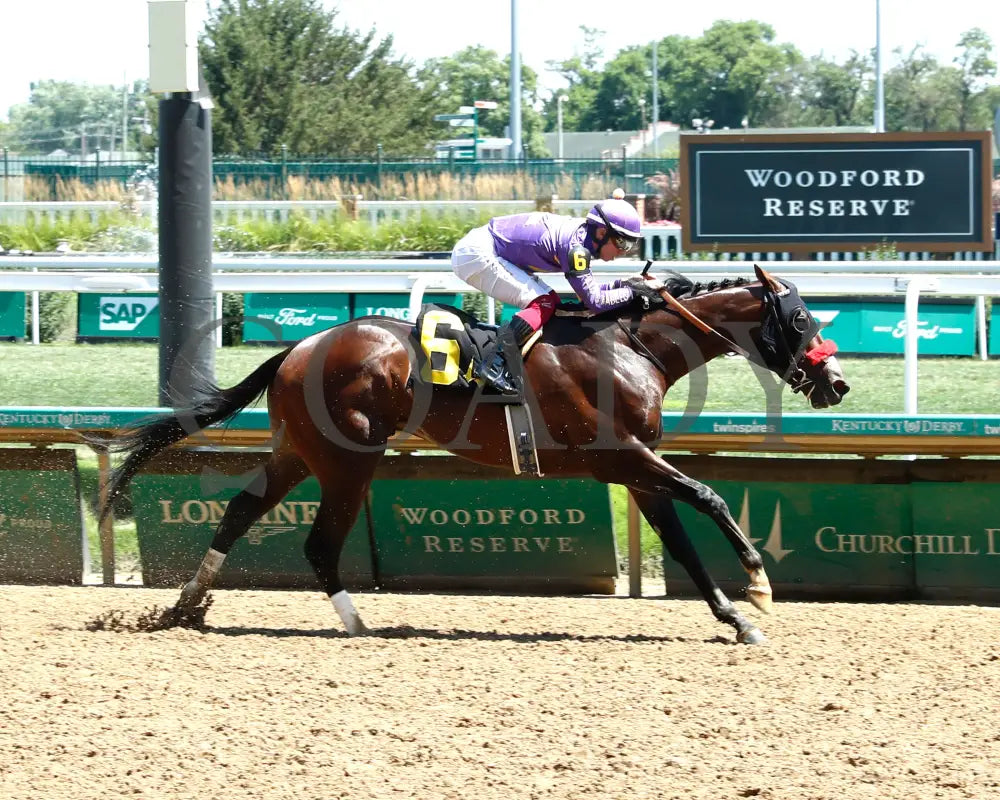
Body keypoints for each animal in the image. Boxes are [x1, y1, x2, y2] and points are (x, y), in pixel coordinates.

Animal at [101, 268, 848, 644]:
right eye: (802, 319)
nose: (836, 383)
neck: (632, 347)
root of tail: (299, 348)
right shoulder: (624, 457)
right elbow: (710, 497)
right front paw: (758, 584)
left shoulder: (634, 468)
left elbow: (683, 543)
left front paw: (735, 618)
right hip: (349, 457)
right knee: (318, 542)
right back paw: (358, 624)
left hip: (300, 452)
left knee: (239, 511)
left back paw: (184, 608)